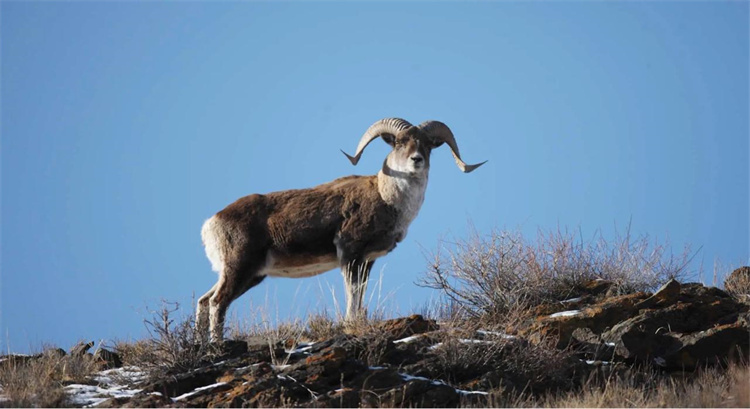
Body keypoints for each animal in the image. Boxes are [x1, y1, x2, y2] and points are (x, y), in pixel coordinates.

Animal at [197, 117, 488, 342]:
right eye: (399, 143)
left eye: (428, 145)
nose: (416, 160)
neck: (388, 198)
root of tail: (211, 224)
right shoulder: (350, 255)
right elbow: (352, 293)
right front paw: (350, 324)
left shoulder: (366, 262)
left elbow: (360, 294)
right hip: (240, 268)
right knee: (217, 302)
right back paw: (216, 345)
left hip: (249, 274)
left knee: (204, 300)